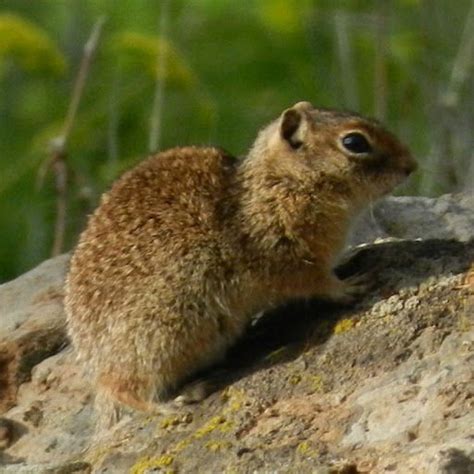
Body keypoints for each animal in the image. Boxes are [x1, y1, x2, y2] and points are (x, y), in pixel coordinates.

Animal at [65, 100, 416, 426]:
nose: (411, 165)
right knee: (125, 391)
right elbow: (318, 283)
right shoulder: (285, 259)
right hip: (158, 337)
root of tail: (92, 365)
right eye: (355, 142)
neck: (279, 183)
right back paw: (174, 403)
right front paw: (352, 286)